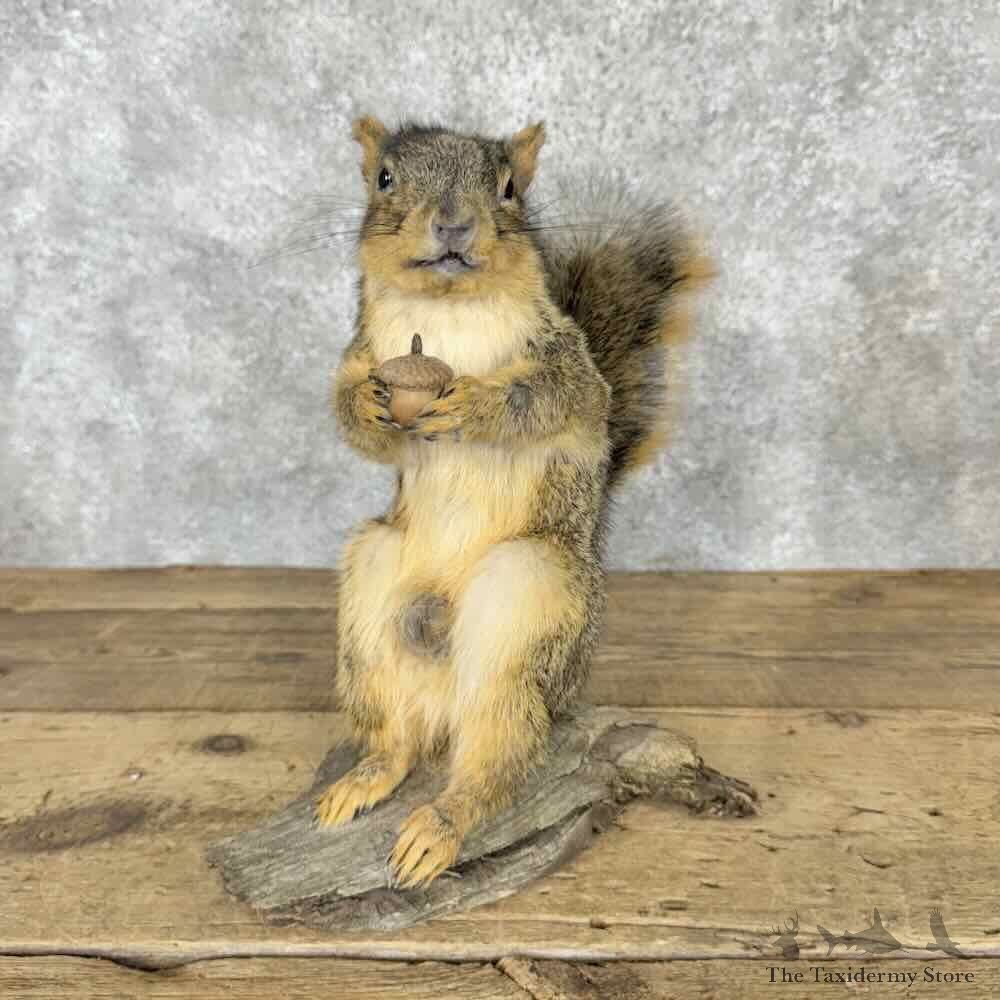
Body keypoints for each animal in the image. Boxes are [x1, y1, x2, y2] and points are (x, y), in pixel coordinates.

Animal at [315, 116, 712, 889]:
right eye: (383, 178)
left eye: (507, 188)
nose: (452, 222)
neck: (445, 310)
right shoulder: (360, 348)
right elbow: (352, 416)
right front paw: (369, 407)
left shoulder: (566, 358)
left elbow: (555, 396)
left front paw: (477, 402)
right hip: (373, 590)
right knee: (399, 739)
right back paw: (367, 778)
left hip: (529, 598)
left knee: (493, 760)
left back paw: (440, 826)